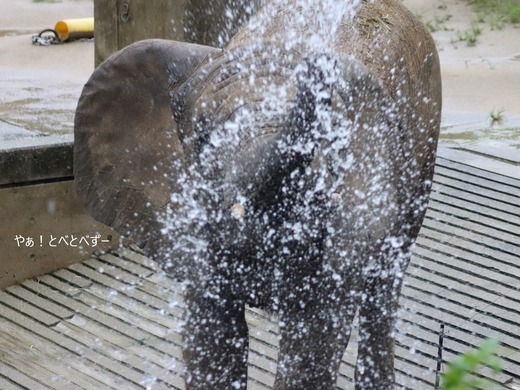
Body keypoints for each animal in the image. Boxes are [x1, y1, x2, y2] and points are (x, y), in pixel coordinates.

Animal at [73, 0, 438, 388]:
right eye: (204, 137)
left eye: (327, 137)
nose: (316, 69)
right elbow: (212, 339)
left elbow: (312, 346)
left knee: (384, 286)